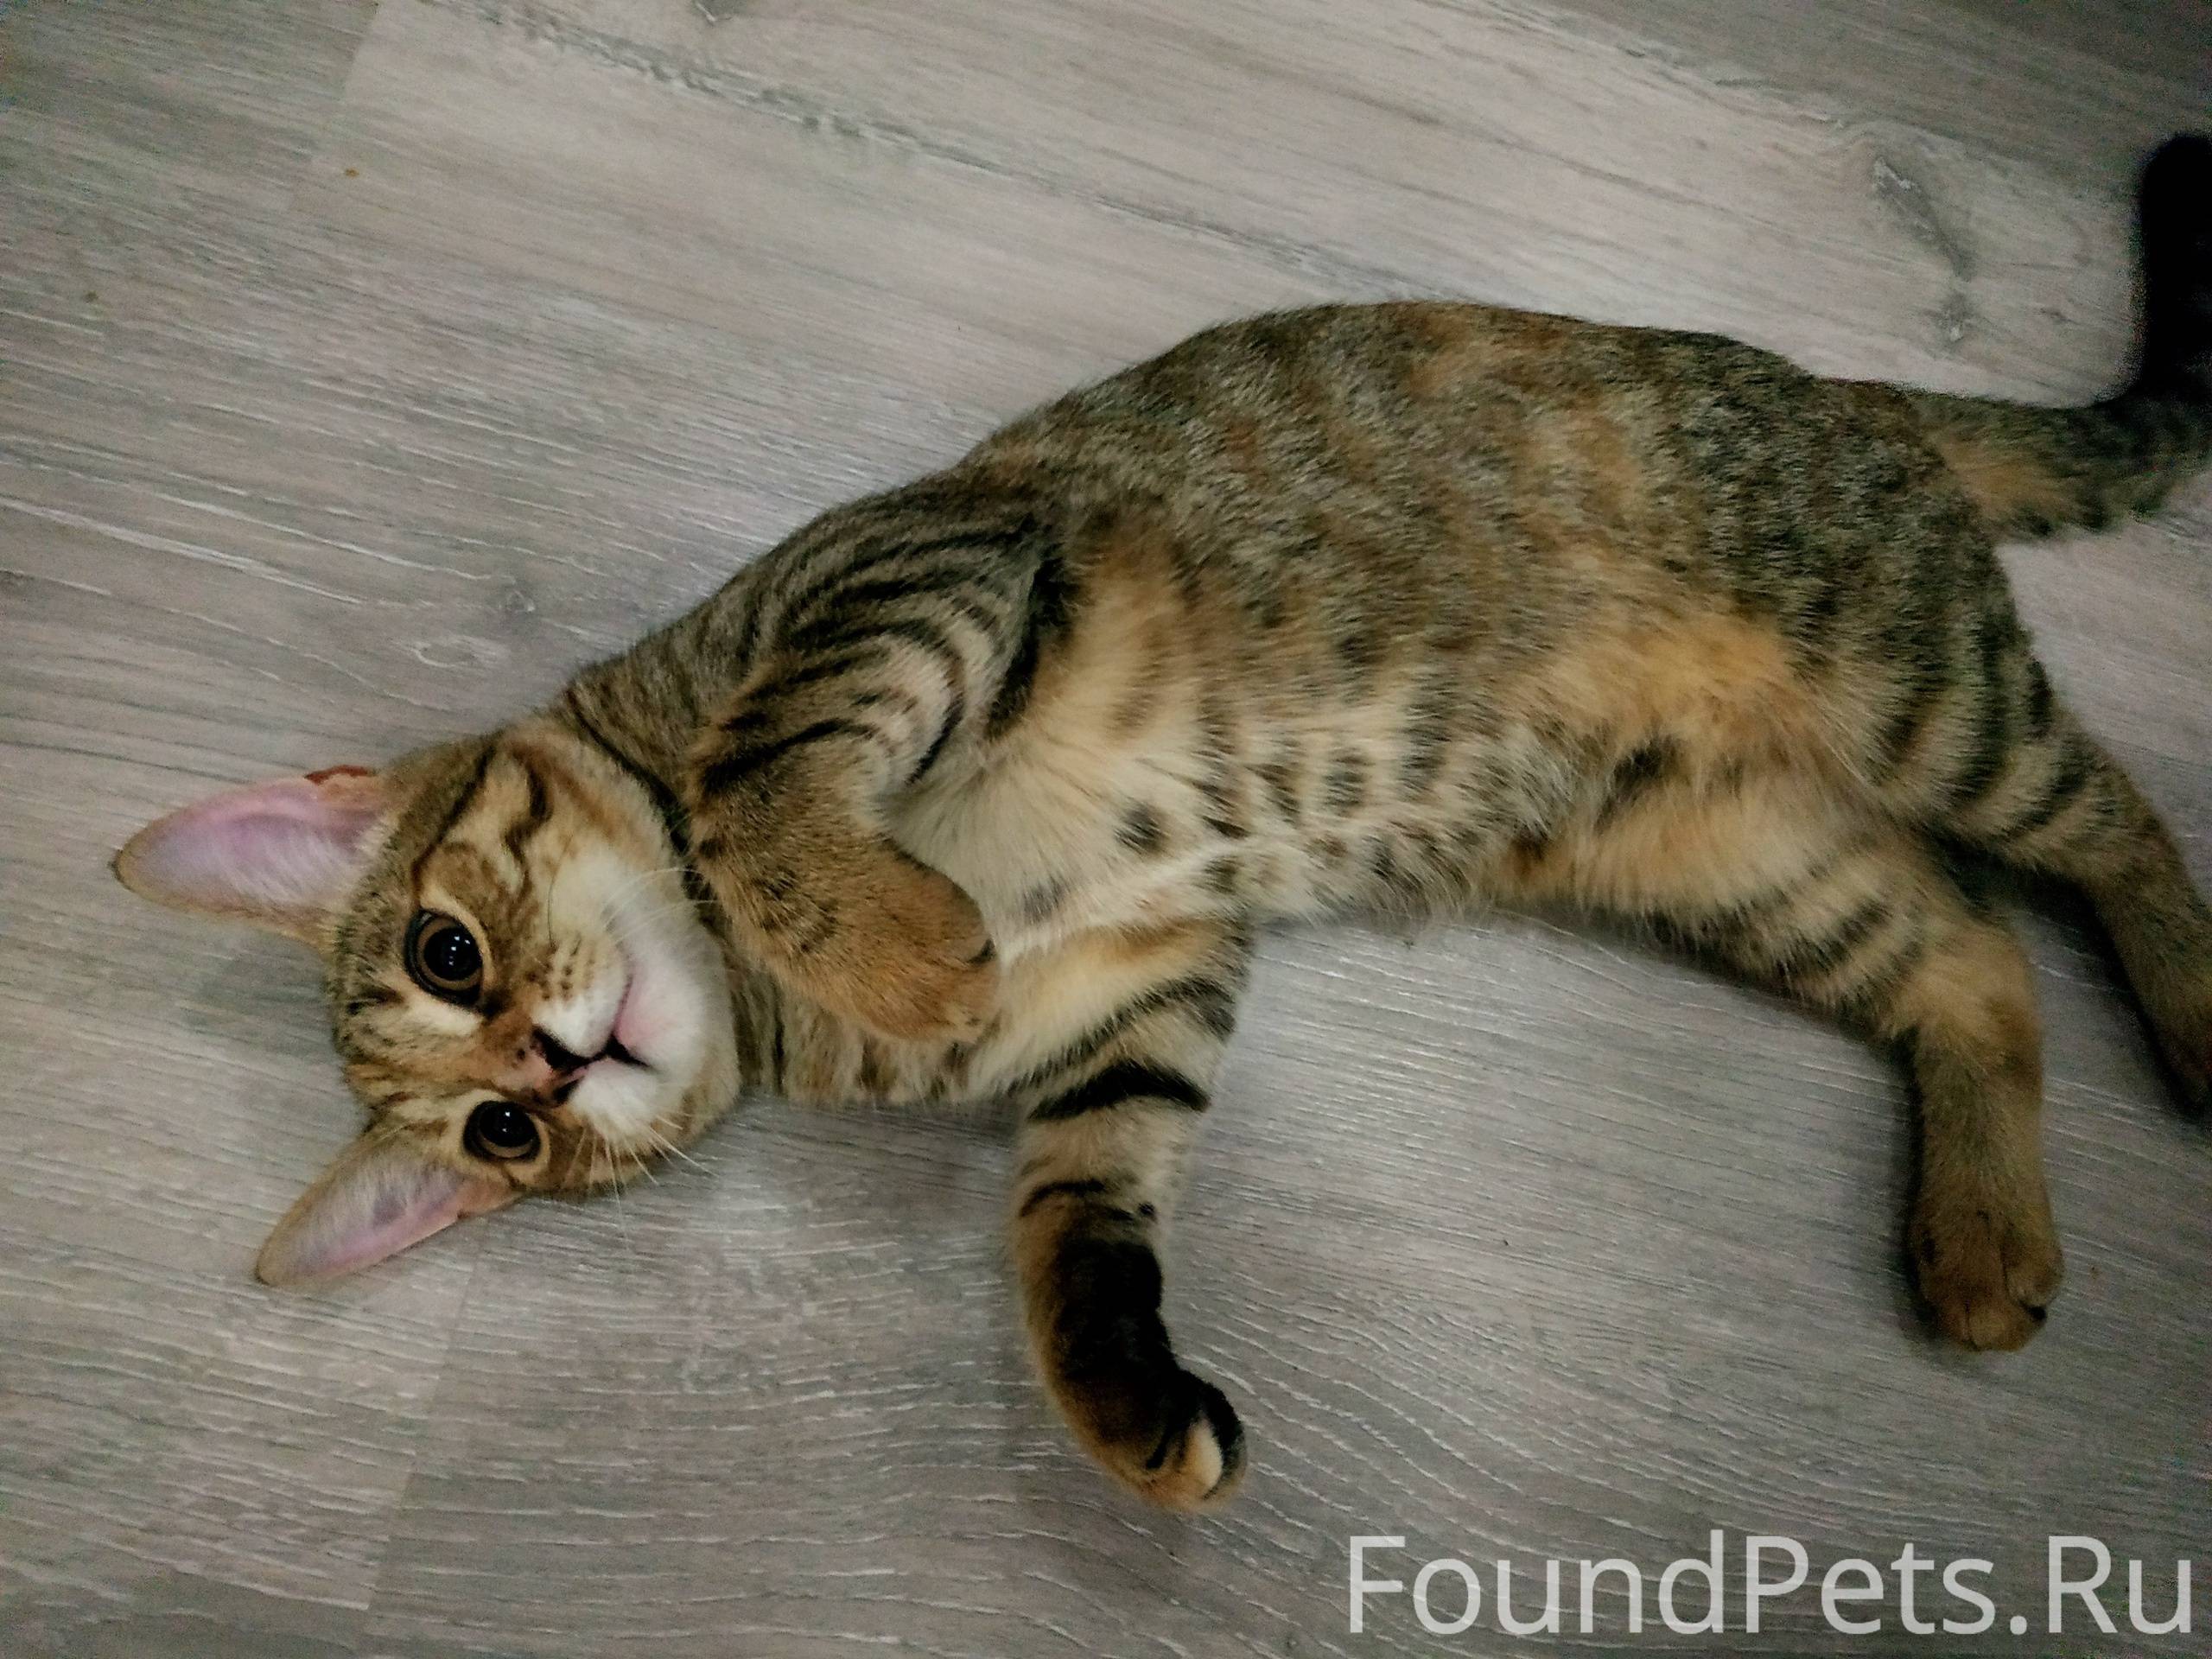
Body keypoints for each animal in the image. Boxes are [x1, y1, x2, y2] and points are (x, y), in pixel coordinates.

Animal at [117, 136, 2211, 1511]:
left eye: (449, 950)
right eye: (499, 1139)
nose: (551, 1065)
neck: (761, 1008)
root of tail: (1848, 394)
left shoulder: (923, 572)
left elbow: (756, 770)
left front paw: (886, 929)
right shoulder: (1152, 992)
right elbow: (1076, 1217)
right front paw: (1121, 1406)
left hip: (1918, 690)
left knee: (2117, 830)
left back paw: (2191, 1016)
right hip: (1738, 854)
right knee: (1970, 958)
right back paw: (1981, 1234)